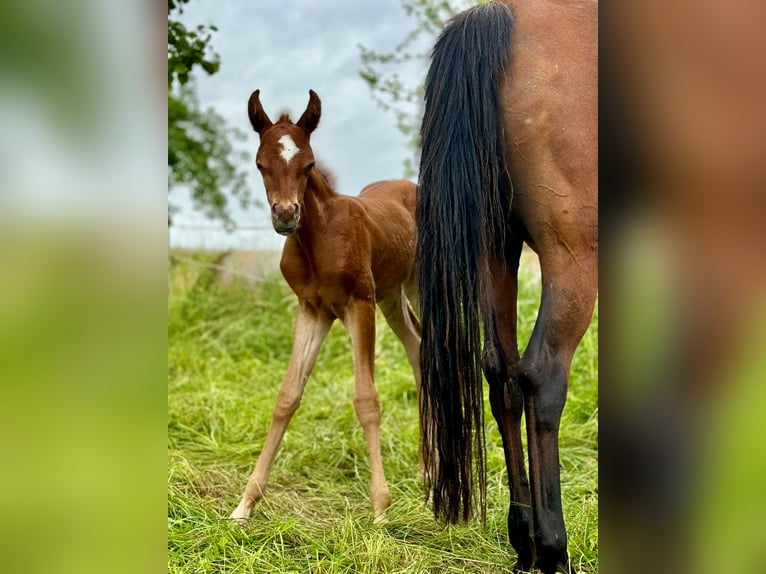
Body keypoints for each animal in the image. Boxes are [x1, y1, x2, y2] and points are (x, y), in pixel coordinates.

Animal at [231, 89, 424, 528]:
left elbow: (367, 400)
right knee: (419, 348)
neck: (317, 238)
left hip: (420, 286)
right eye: (260, 164)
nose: (286, 215)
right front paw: (245, 504)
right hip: (393, 296)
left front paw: (381, 510)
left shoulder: (358, 304)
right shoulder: (313, 309)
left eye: (309, 164)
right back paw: (429, 469)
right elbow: (287, 396)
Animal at [420, 1, 600, 574]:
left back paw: (524, 543)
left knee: (501, 376)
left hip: (494, 249)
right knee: (541, 375)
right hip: (572, 257)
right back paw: (553, 549)